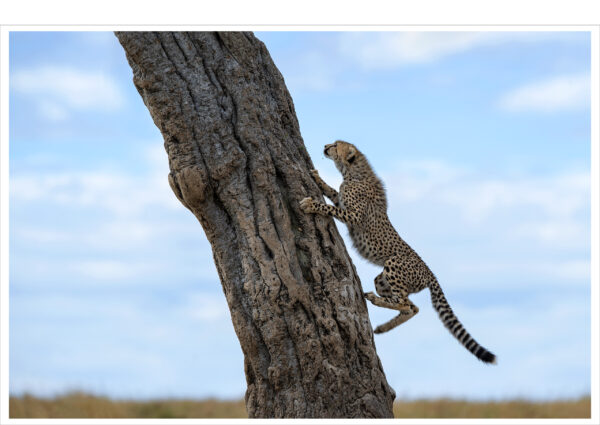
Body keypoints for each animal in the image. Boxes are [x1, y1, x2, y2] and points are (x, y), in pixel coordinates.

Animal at [300, 141, 496, 362]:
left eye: (335, 145)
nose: (326, 146)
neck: (352, 172)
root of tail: (431, 273)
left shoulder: (354, 215)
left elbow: (330, 208)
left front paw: (311, 204)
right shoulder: (342, 200)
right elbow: (332, 191)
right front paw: (317, 178)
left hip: (393, 263)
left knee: (404, 303)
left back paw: (376, 301)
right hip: (382, 279)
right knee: (413, 307)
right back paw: (383, 327)